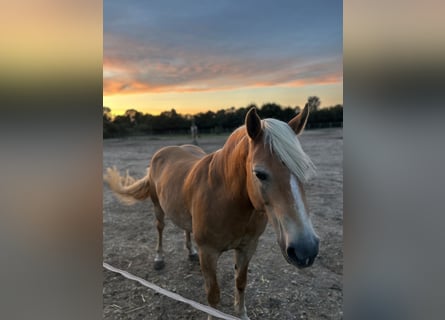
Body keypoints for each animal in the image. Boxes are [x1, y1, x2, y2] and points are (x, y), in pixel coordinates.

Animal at [104, 104, 320, 318]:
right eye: (259, 173)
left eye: (305, 169)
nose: (306, 249)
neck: (226, 198)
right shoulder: (208, 253)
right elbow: (213, 296)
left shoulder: (248, 247)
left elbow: (241, 283)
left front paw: (241, 314)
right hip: (158, 206)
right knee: (160, 228)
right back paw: (159, 258)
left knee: (186, 228)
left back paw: (190, 252)